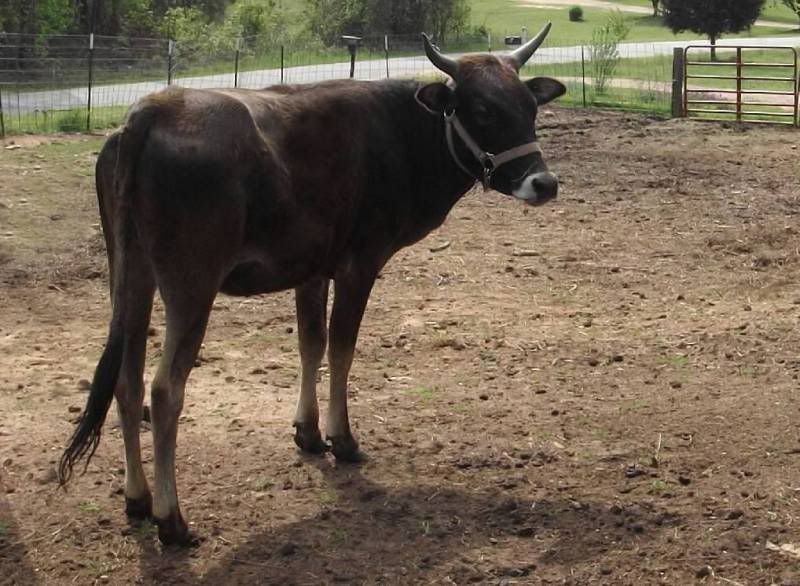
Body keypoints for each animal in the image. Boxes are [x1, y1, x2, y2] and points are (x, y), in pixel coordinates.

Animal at [58, 24, 566, 546]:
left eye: (530, 106)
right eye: (483, 109)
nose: (544, 183)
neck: (401, 136)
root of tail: (153, 109)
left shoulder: (312, 268)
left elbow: (310, 344)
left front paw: (307, 431)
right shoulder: (360, 264)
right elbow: (341, 349)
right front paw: (343, 439)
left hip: (130, 277)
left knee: (127, 380)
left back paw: (137, 498)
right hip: (190, 283)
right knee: (164, 392)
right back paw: (172, 519)